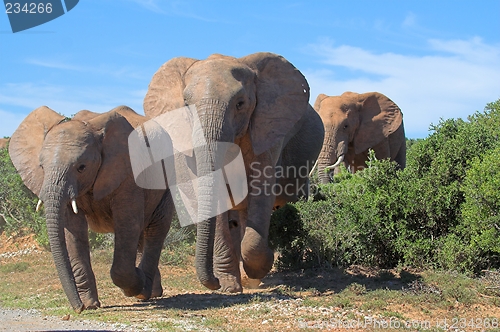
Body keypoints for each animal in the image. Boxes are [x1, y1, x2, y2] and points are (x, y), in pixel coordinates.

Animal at [7, 105, 174, 312]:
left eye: (81, 167)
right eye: (41, 167)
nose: (77, 308)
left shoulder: (128, 174)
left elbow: (128, 224)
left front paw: (136, 283)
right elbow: (73, 231)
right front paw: (90, 305)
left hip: (167, 182)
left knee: (155, 228)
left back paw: (144, 290)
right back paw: (151, 292)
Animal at [143, 52, 326, 294]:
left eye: (240, 104)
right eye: (185, 105)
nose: (213, 282)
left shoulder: (266, 129)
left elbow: (261, 190)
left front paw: (261, 267)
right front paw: (228, 286)